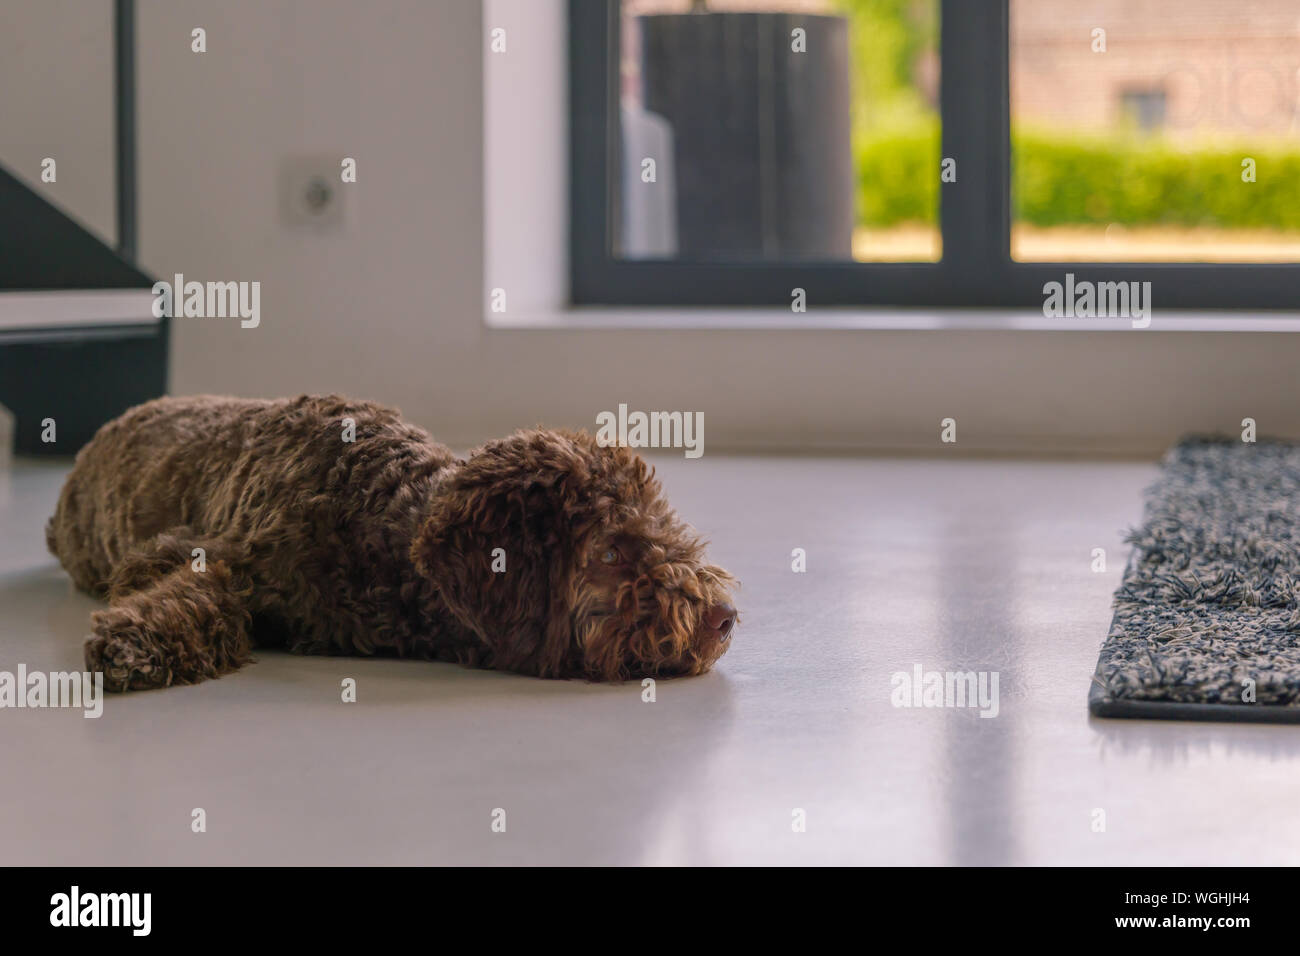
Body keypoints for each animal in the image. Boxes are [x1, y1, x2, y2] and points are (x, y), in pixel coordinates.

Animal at [45, 392, 738, 691]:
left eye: (662, 524)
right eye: (612, 550)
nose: (724, 618)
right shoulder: (187, 548)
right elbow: (200, 593)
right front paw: (136, 639)